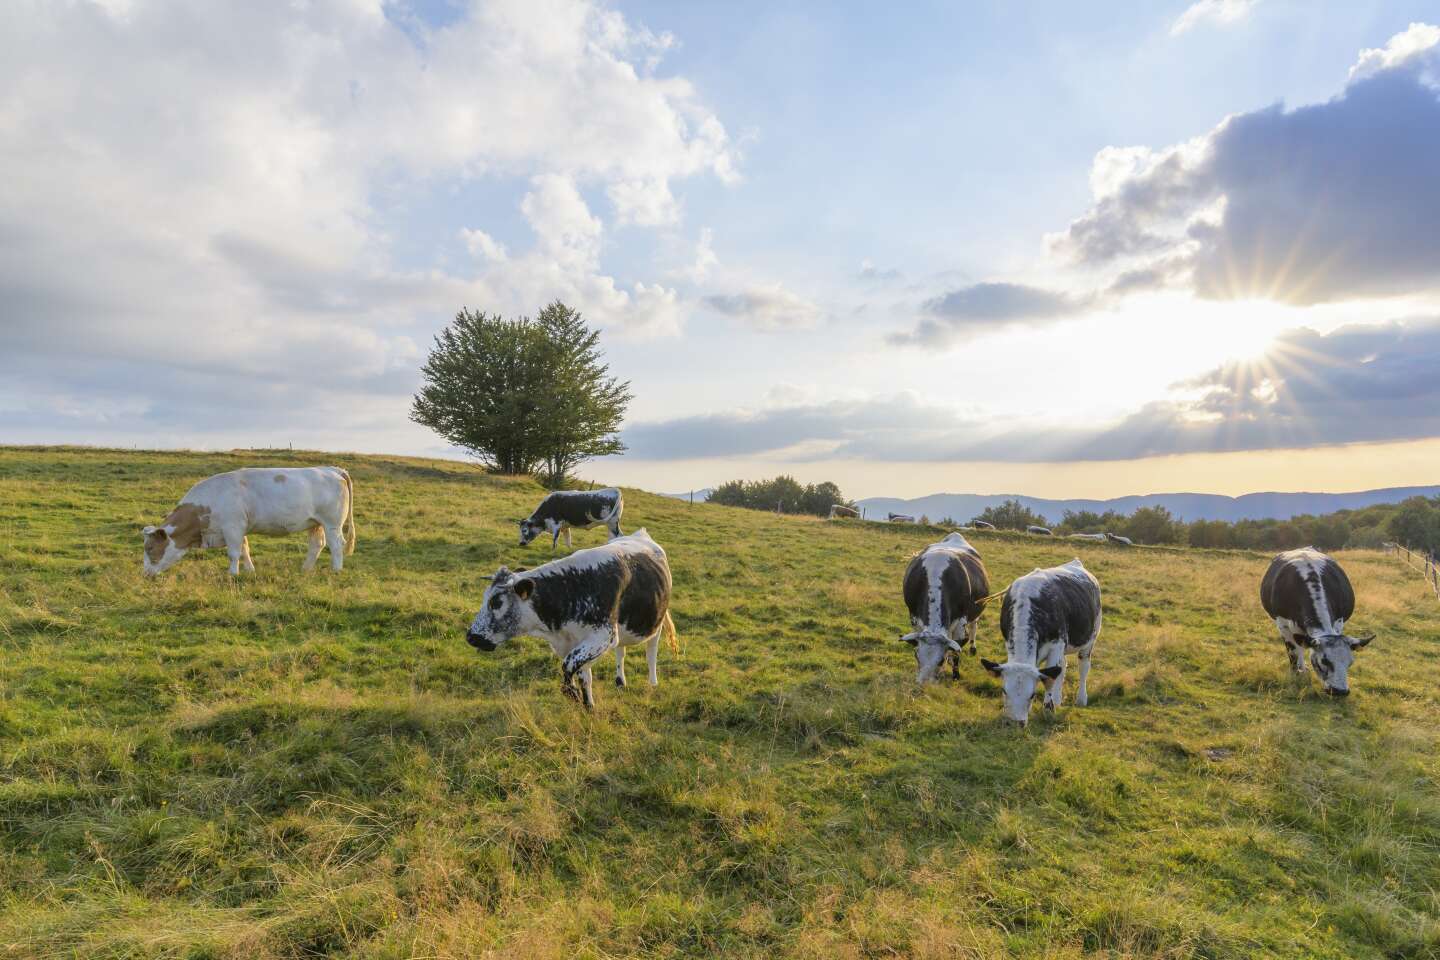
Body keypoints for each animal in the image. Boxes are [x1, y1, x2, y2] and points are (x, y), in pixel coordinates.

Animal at [141, 466, 355, 575]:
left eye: (150, 548)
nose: (145, 574)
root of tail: (332, 469)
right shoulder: (239, 528)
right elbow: (245, 549)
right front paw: (250, 570)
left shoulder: (232, 527)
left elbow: (234, 553)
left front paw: (233, 574)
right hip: (315, 523)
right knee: (317, 544)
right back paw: (305, 569)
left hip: (332, 523)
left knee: (336, 545)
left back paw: (336, 570)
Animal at [466, 529, 679, 711]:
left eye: (496, 602)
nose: (471, 637)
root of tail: (640, 534)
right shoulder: (576, 642)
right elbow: (584, 675)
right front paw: (588, 706)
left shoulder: (603, 636)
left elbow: (568, 664)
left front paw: (572, 693)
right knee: (621, 652)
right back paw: (620, 682)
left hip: (656, 623)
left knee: (651, 652)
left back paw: (652, 683)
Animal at [898, 532, 990, 682]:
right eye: (916, 656)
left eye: (940, 660)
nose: (923, 683)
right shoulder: (914, 618)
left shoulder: (961, 622)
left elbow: (956, 651)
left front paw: (955, 675)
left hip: (977, 610)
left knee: (974, 626)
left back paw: (972, 648)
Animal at [979, 558, 1100, 725]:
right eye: (1004, 691)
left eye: (1032, 694)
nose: (1015, 723)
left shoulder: (1056, 644)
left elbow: (1049, 681)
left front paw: (1048, 710)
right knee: (1062, 668)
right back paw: (1058, 699)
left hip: (1090, 640)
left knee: (1083, 668)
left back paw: (1081, 699)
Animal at [1261, 546, 1370, 699]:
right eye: (1324, 661)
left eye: (1350, 662)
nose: (1340, 691)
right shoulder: (1282, 624)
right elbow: (1293, 653)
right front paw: (1296, 675)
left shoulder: (1338, 623)